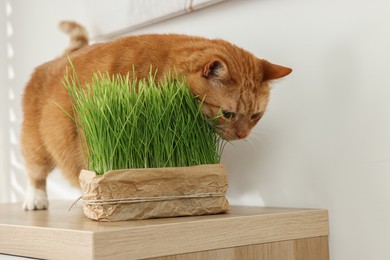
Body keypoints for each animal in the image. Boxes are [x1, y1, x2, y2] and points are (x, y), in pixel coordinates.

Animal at [20, 21, 290, 210]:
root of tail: (56, 60)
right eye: (228, 113)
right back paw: (35, 200)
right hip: (36, 144)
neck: (161, 70)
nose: (243, 134)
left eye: (255, 115)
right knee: (35, 173)